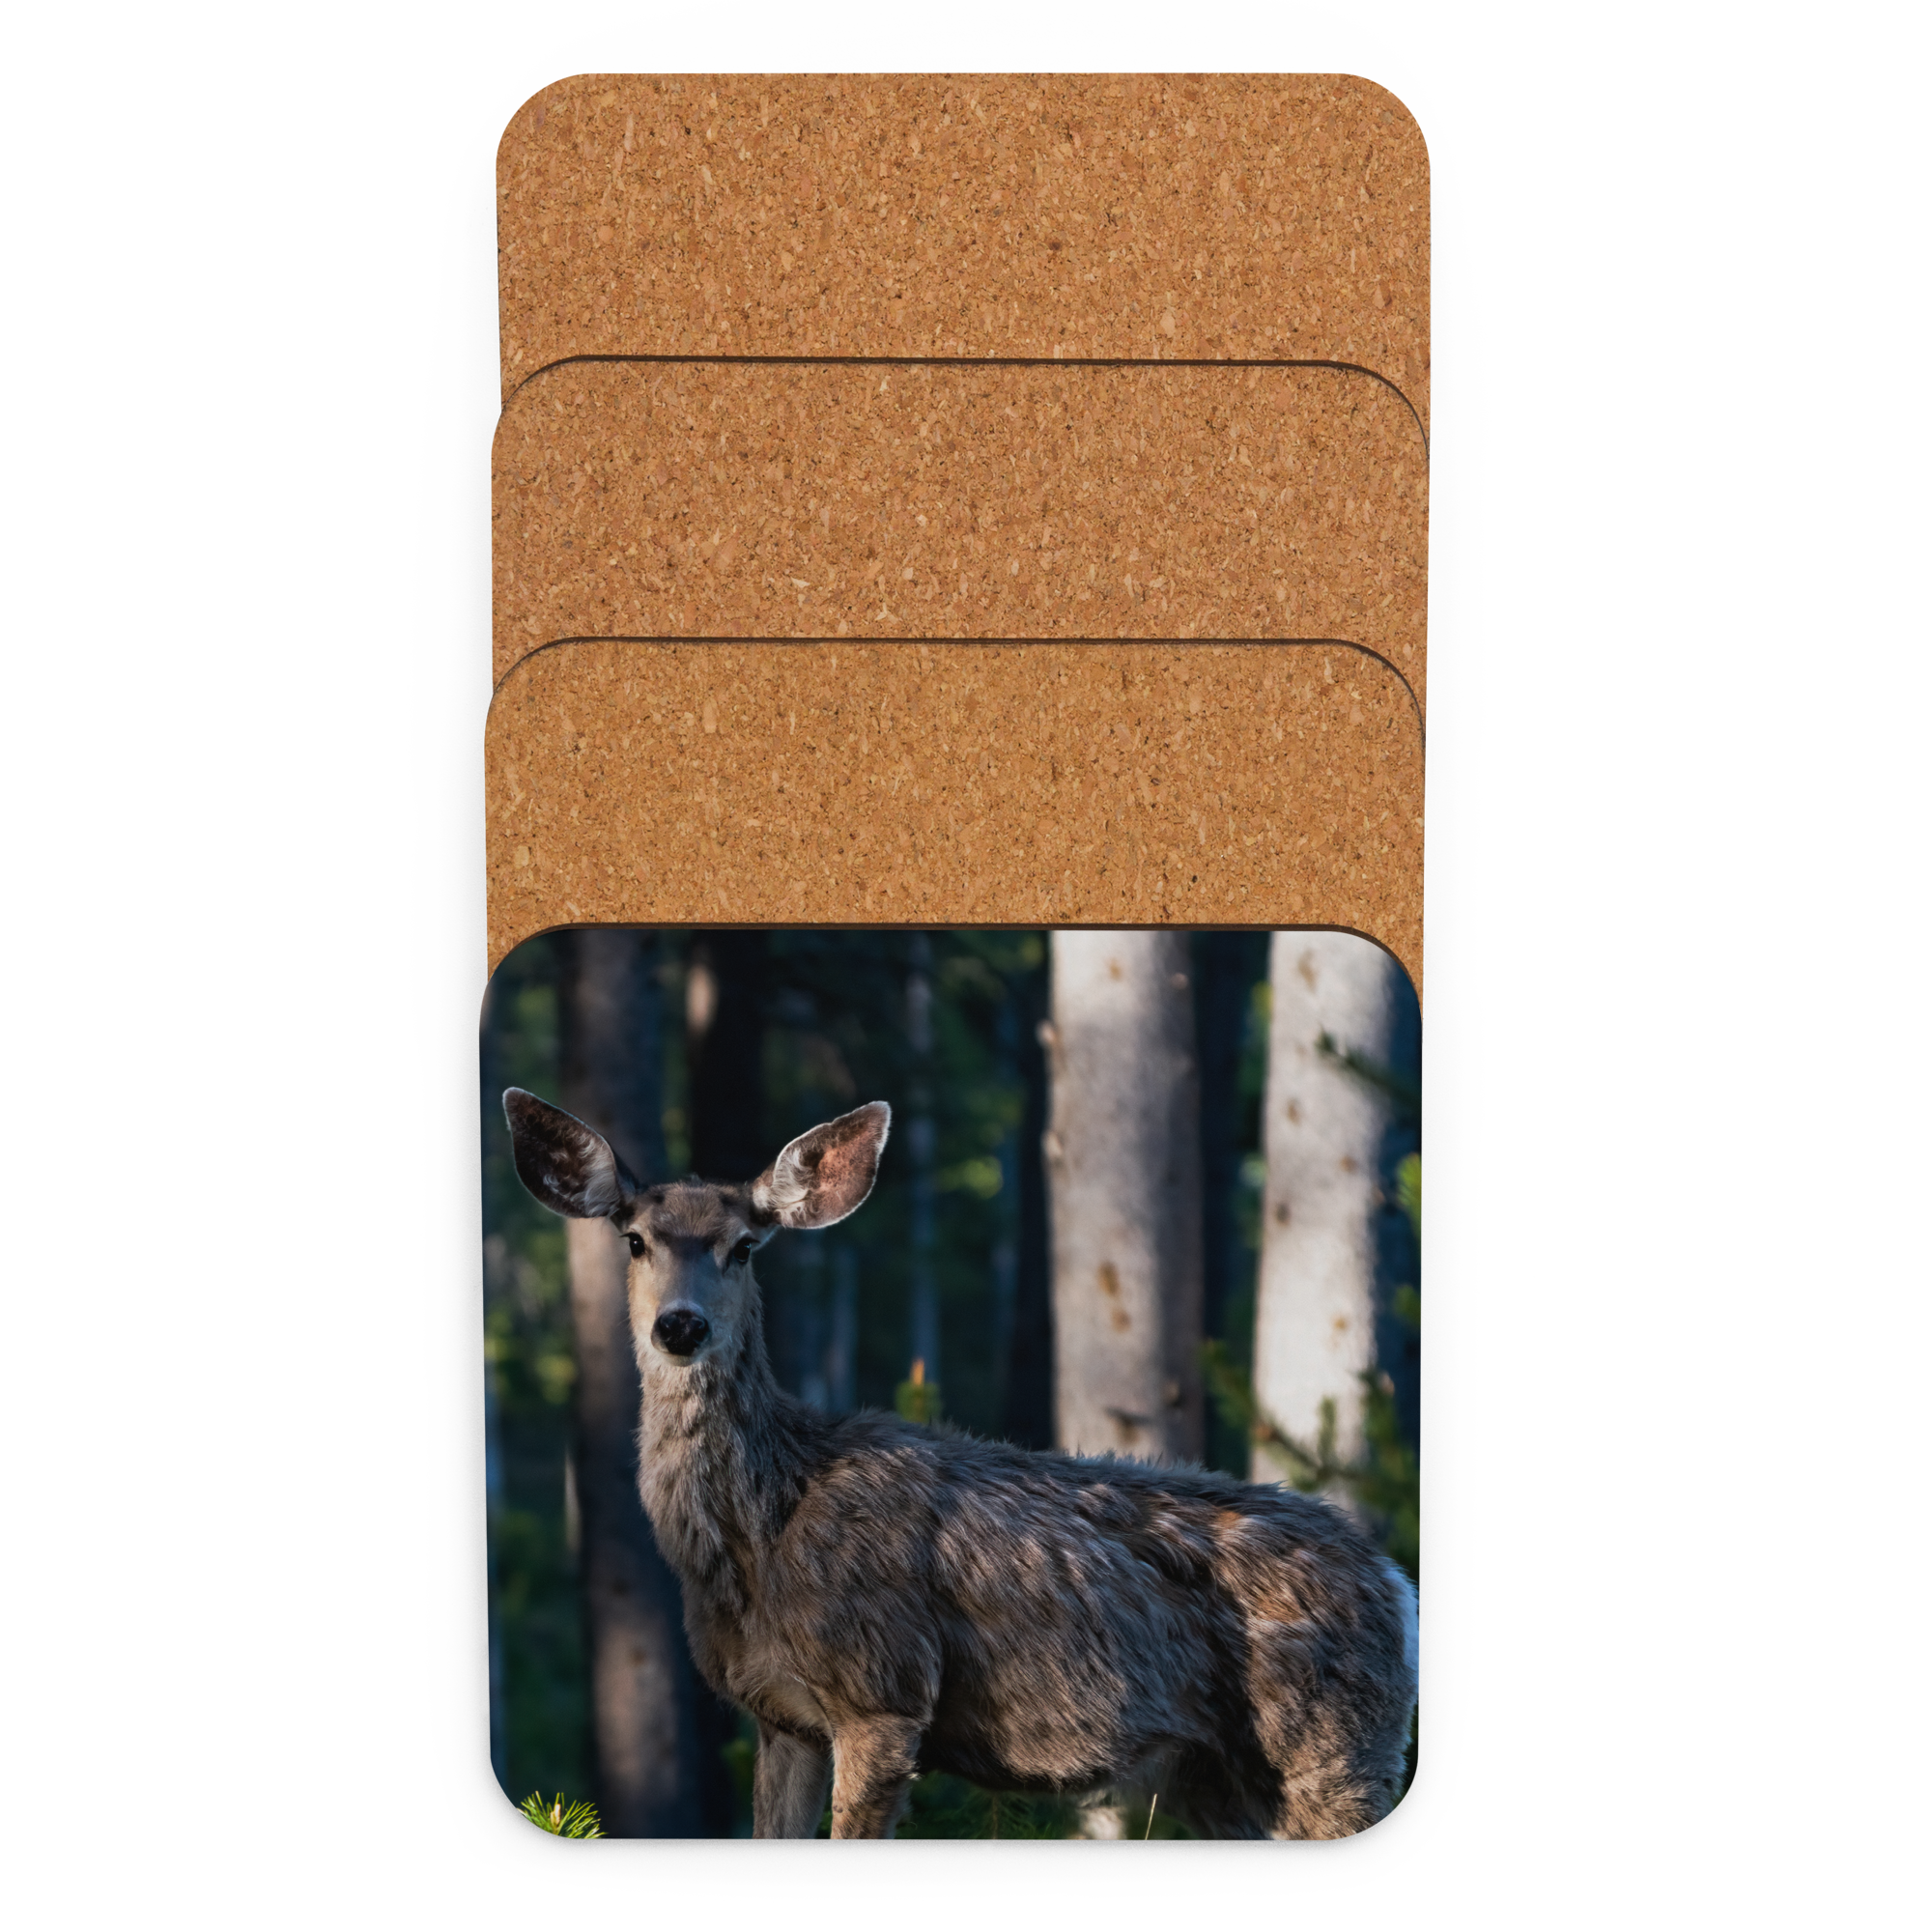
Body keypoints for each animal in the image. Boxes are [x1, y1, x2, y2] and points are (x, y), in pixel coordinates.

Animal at [503, 1087, 1419, 1840]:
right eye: (634, 1240)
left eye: (744, 1247)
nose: (681, 1326)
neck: (758, 1536)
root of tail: (1397, 1585)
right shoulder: (780, 1716)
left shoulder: (886, 1689)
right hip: (1219, 1777)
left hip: (1334, 1745)